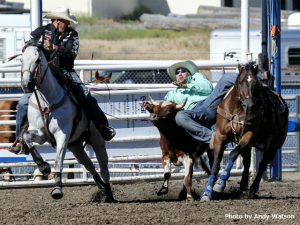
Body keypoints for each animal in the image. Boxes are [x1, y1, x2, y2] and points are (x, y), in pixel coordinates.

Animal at [200, 62, 290, 201]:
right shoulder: (221, 136)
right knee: (247, 162)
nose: (250, 105)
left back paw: (253, 189)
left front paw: (220, 183)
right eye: (241, 81)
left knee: (263, 164)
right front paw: (207, 192)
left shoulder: (249, 136)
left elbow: (232, 154)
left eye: (256, 83)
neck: (237, 110)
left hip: (274, 146)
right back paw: (243, 186)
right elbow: (215, 165)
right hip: (247, 145)